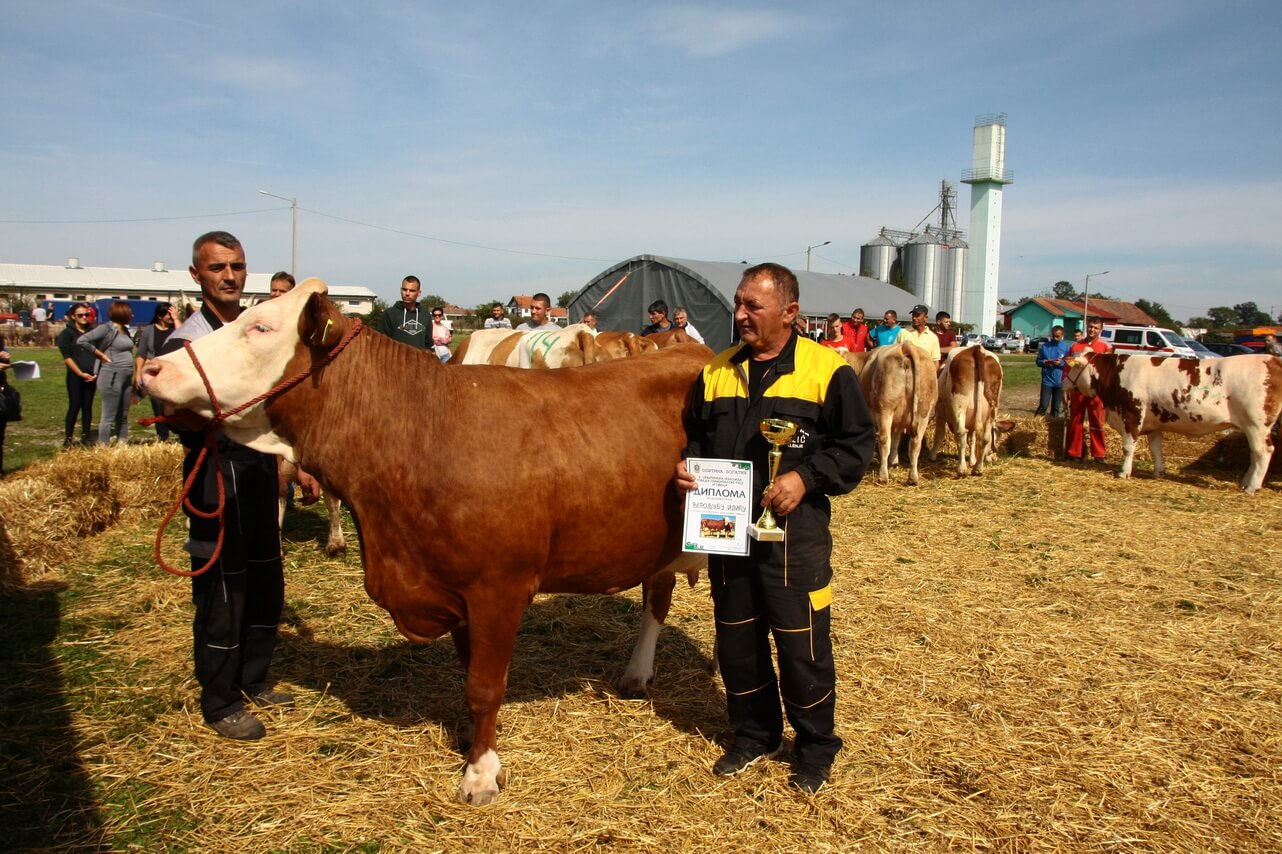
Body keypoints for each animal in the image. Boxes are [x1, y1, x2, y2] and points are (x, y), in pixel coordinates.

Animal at [145, 280, 717, 805]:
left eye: (260, 327)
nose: (154, 369)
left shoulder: (498, 587)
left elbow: (486, 685)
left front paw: (481, 775)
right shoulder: (454, 586)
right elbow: (470, 677)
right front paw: (473, 746)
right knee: (657, 597)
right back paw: (637, 674)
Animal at [846, 341, 938, 484]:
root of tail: (906, 346)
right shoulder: (900, 420)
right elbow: (897, 438)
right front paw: (894, 461)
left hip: (885, 409)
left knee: (884, 441)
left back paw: (883, 476)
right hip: (924, 411)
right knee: (915, 443)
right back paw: (913, 478)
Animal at [928, 343, 1005, 474]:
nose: (994, 457)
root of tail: (978, 349)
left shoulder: (940, 410)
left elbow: (941, 433)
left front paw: (932, 456)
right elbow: (971, 439)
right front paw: (972, 460)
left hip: (959, 404)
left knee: (961, 433)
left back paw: (962, 469)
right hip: (992, 407)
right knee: (983, 437)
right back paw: (977, 468)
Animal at [1061, 348, 1282, 492]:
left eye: (1072, 368)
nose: (1063, 384)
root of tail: (1273, 360)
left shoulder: (1132, 415)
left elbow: (1128, 447)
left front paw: (1124, 472)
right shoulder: (1153, 422)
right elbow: (1156, 447)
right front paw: (1159, 471)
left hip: (1256, 425)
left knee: (1263, 452)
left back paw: (1252, 487)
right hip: (1252, 428)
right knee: (1255, 454)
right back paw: (1245, 482)